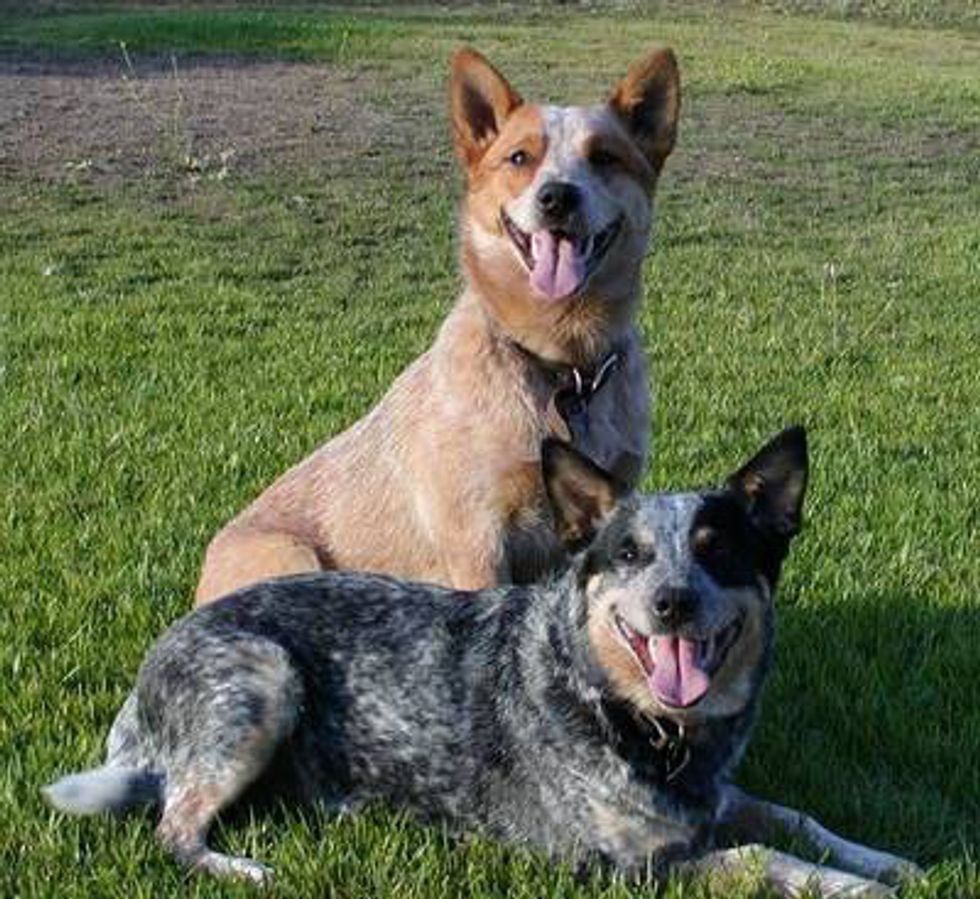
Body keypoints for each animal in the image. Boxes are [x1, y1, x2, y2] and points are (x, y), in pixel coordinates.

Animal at [46, 428, 920, 892]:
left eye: (717, 548)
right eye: (629, 553)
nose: (673, 600)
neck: (628, 715)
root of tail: (152, 666)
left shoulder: (714, 798)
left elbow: (795, 817)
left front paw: (888, 857)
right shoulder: (612, 865)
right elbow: (759, 854)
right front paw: (854, 885)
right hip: (265, 675)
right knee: (172, 823)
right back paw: (242, 867)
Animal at [192, 44, 680, 604]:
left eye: (604, 157)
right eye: (519, 157)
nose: (557, 196)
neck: (563, 365)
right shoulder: (477, 538)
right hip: (292, 557)